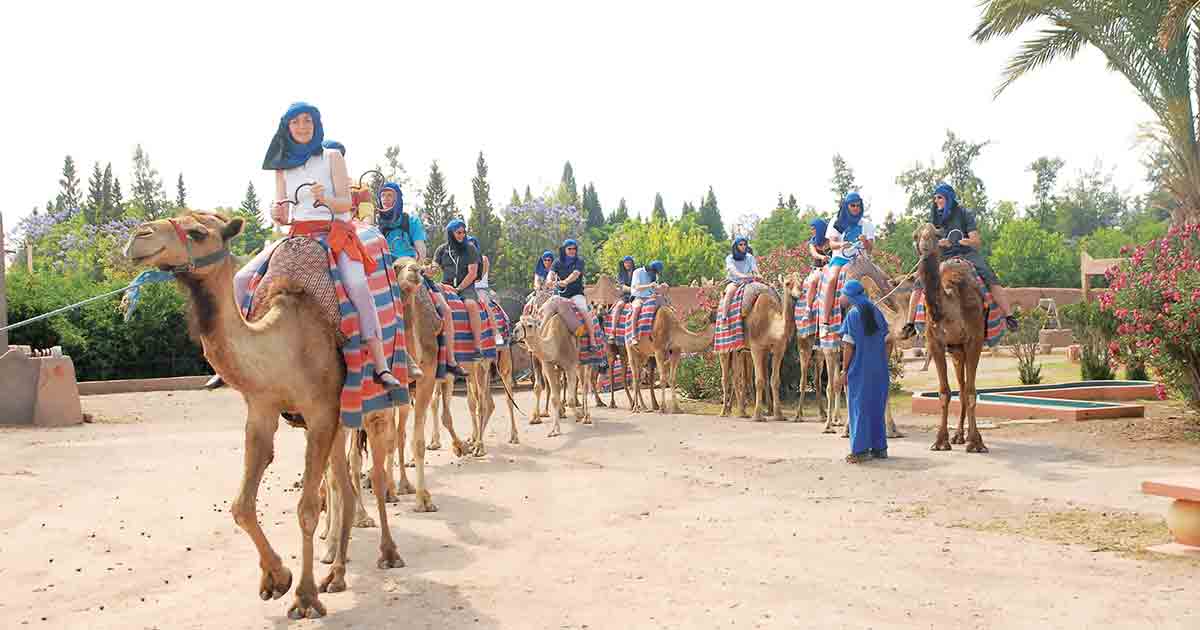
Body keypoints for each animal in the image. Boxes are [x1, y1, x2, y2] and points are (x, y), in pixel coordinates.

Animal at [124, 213, 400, 614]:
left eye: (198, 232)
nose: (138, 236)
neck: (281, 347)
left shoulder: (319, 412)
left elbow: (307, 508)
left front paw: (304, 597)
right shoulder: (264, 410)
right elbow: (241, 505)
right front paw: (276, 579)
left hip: (375, 408)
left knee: (376, 476)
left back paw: (389, 554)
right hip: (340, 419)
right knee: (344, 486)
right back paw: (336, 575)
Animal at [715, 282, 792, 420]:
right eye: (788, 283)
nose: (799, 292)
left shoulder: (778, 348)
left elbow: (773, 380)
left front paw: (778, 414)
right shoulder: (756, 348)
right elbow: (759, 380)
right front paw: (758, 416)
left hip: (739, 349)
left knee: (736, 376)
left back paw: (742, 412)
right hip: (723, 345)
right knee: (725, 377)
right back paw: (724, 412)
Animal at [912, 220, 988, 451]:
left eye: (935, 236)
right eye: (917, 235)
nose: (924, 247)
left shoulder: (975, 340)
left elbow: (972, 391)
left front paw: (976, 443)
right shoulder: (935, 342)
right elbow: (944, 392)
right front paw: (940, 441)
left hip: (964, 348)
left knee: (966, 388)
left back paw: (969, 437)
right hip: (955, 351)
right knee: (960, 388)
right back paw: (959, 436)